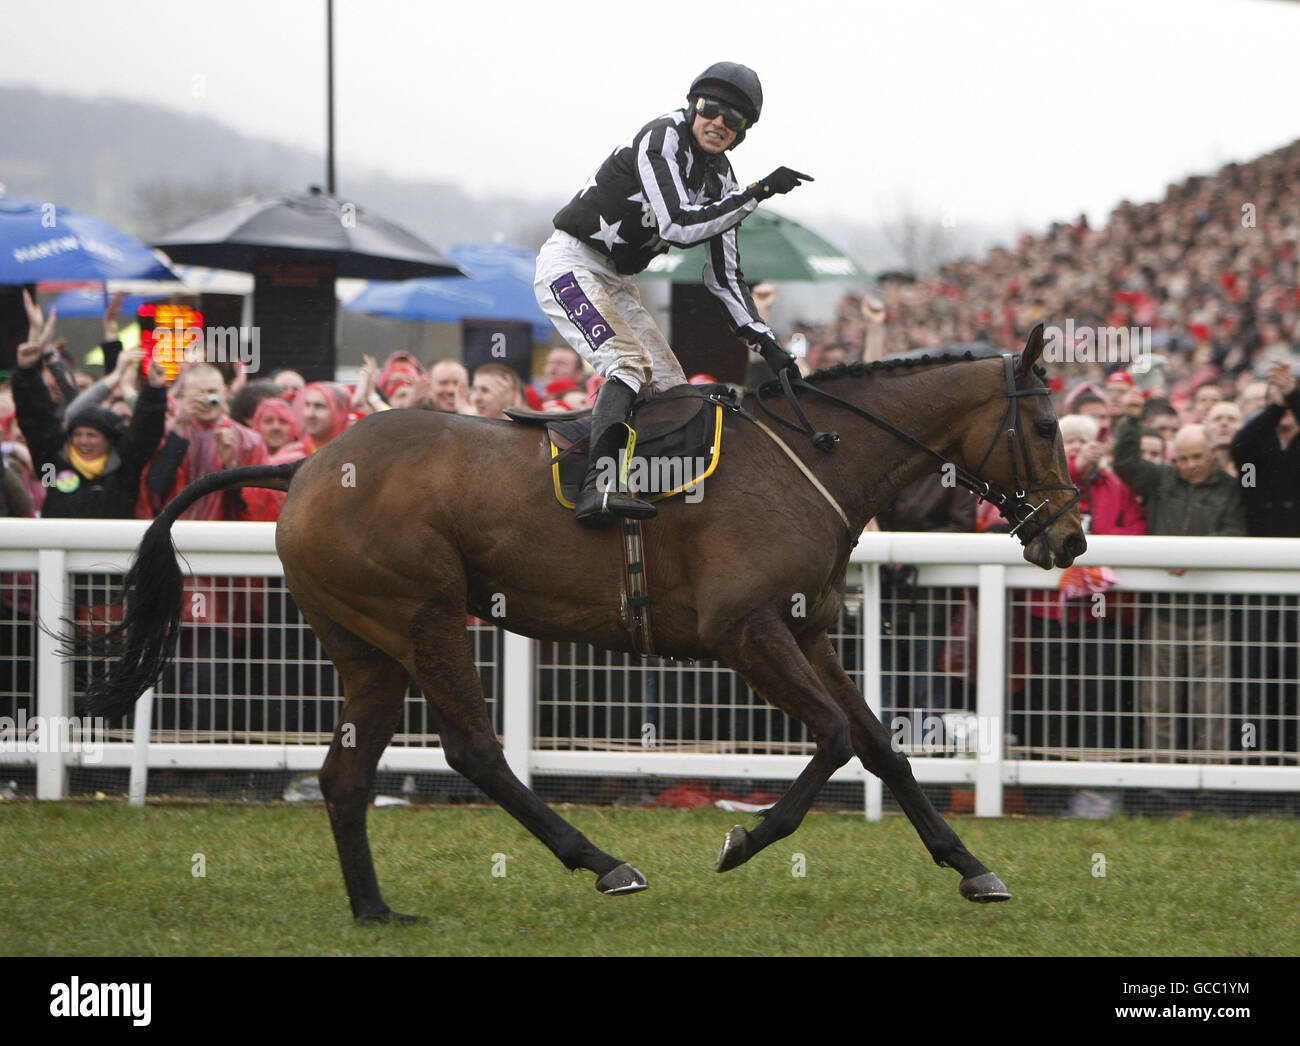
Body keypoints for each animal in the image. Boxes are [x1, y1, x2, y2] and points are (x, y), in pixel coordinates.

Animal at [78, 324, 1086, 914]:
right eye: (1044, 426)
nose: (1069, 536)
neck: (812, 456)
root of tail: (309, 467)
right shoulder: (743, 631)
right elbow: (836, 737)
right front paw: (743, 838)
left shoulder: (803, 629)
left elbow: (881, 745)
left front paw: (970, 865)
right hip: (424, 616)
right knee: (473, 751)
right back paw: (602, 861)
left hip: (365, 645)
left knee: (344, 775)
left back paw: (376, 910)